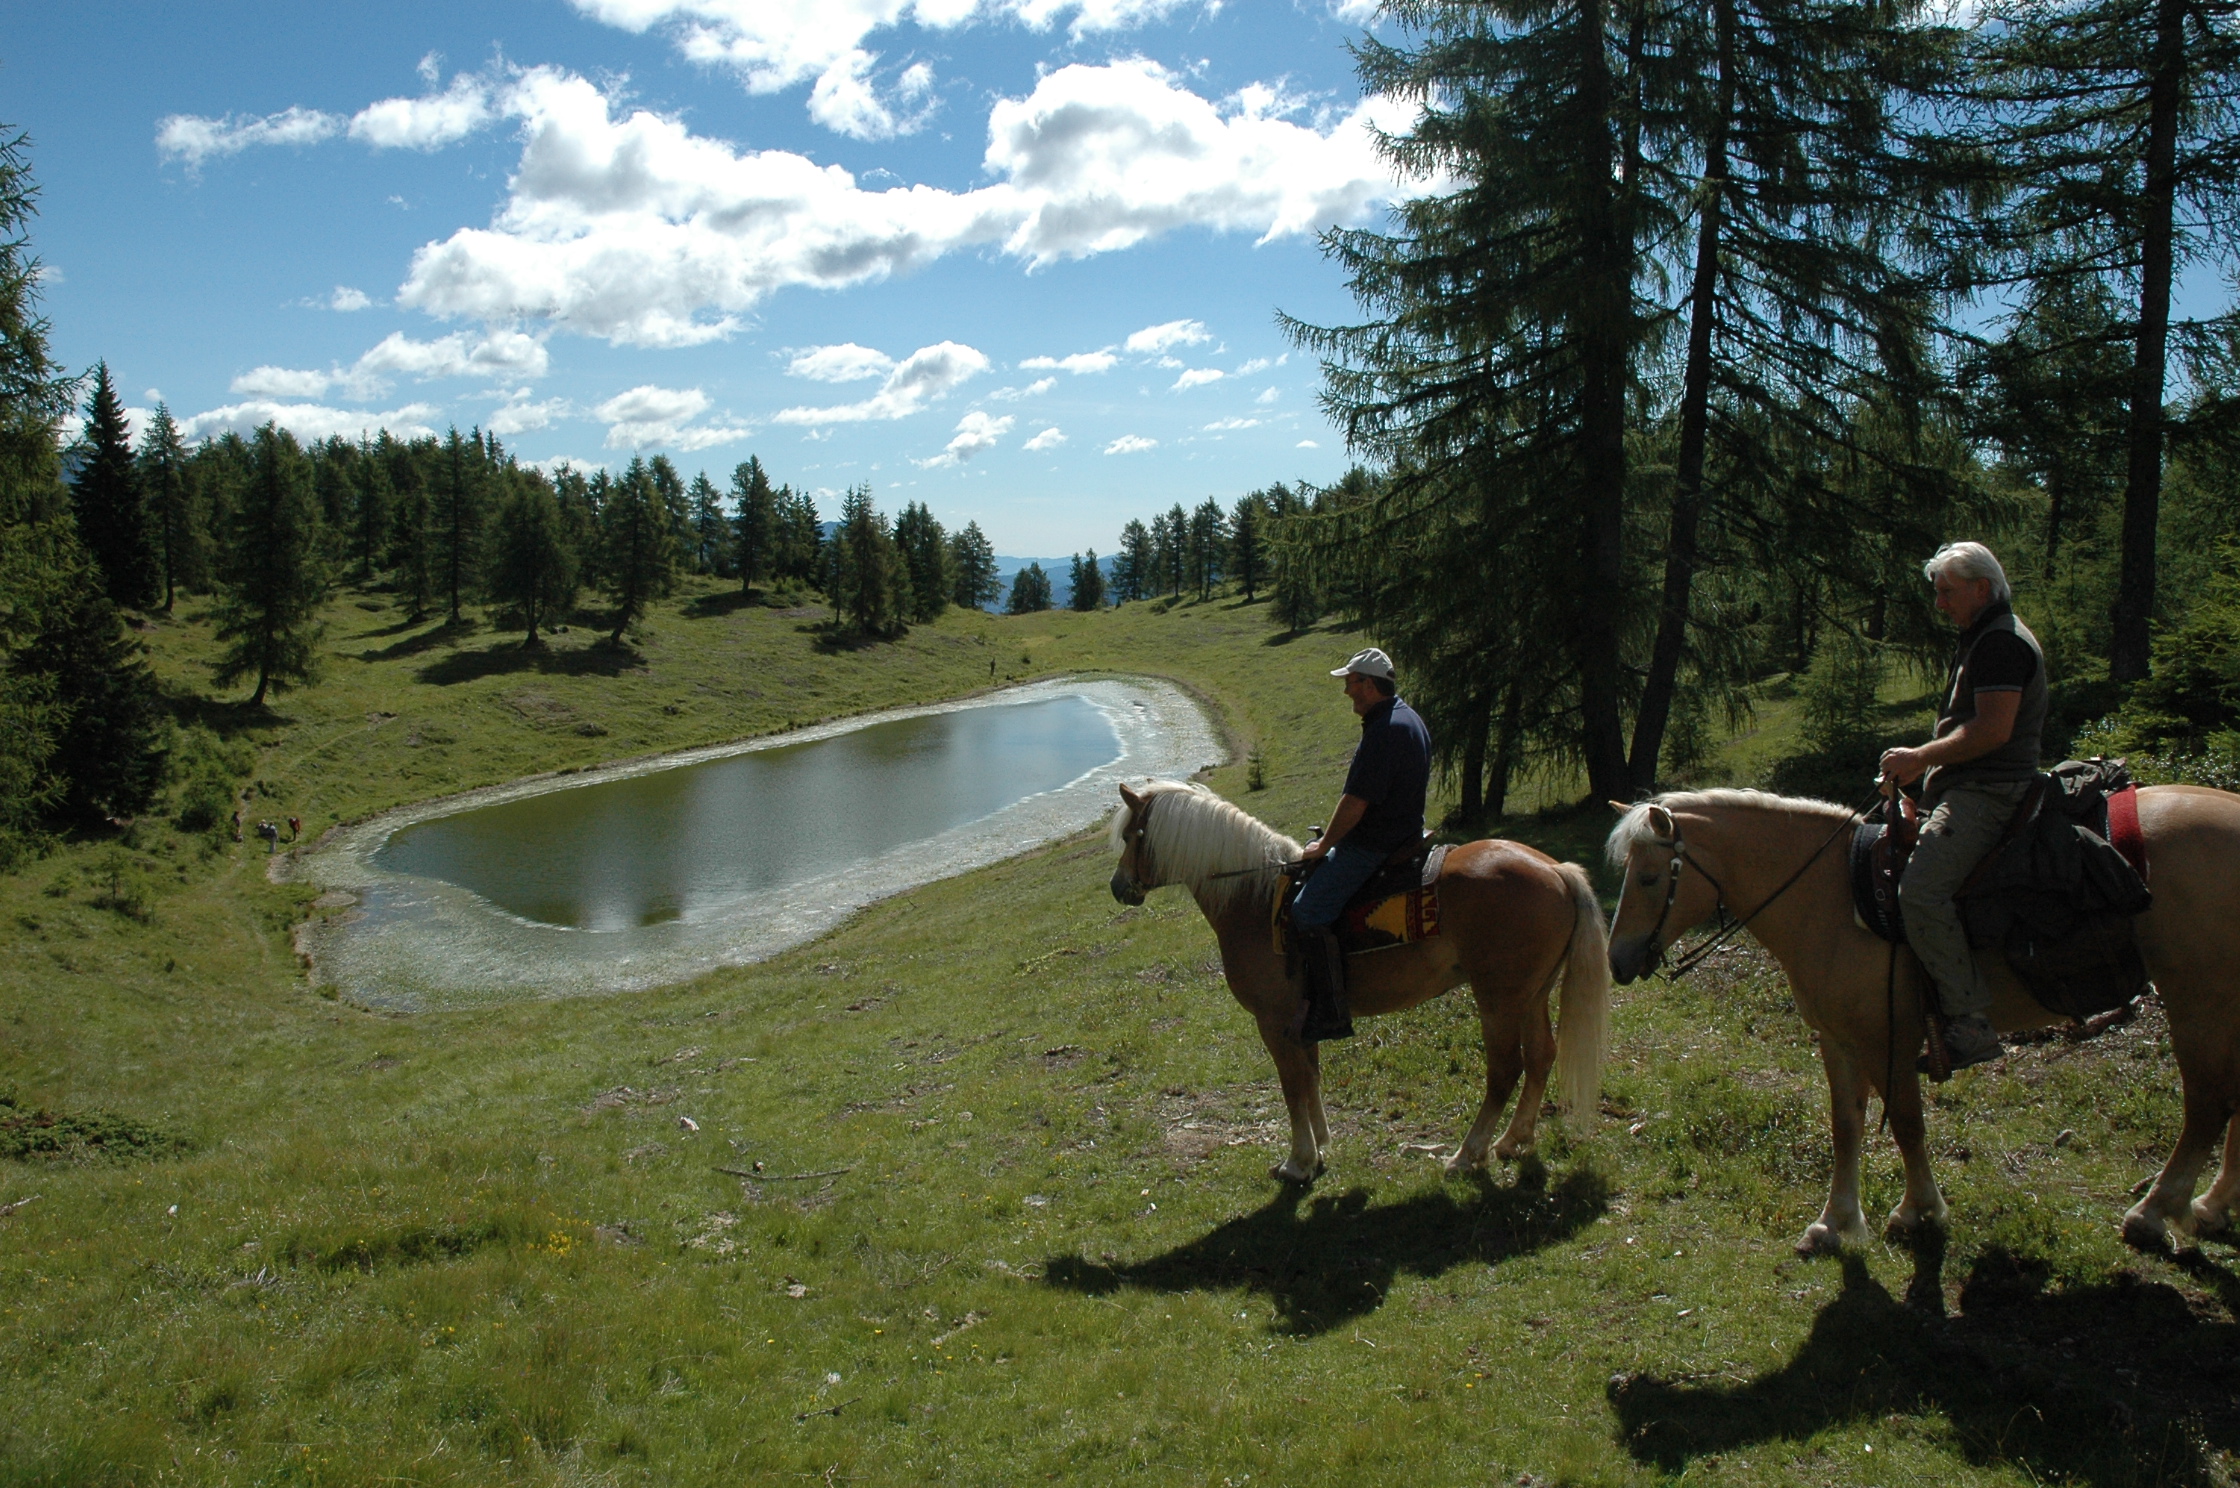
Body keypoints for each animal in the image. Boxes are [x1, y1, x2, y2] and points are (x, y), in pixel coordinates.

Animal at [1106, 779, 1612, 1183]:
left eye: (1132, 836)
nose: (1118, 886)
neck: (1254, 899)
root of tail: (1556, 871)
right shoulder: (1304, 1019)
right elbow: (1310, 1076)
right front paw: (1321, 1144)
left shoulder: (1274, 1022)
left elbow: (1292, 1085)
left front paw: (1298, 1161)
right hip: (1532, 995)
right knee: (1542, 1056)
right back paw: (1513, 1140)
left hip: (1498, 1000)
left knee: (1505, 1070)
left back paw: (1468, 1155)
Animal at [1603, 784, 2240, 1245]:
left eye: (1650, 878)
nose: (1618, 961)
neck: (1830, 897)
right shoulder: (1836, 1039)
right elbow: (1846, 1125)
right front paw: (1834, 1223)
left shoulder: (1884, 1038)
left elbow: (1907, 1124)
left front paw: (1919, 1212)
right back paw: (2210, 1206)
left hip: (2198, 1001)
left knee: (2208, 1107)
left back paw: (2155, 1212)